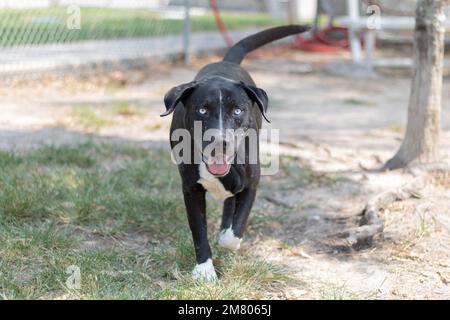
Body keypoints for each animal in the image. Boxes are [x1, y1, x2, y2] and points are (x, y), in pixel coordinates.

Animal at [163, 24, 310, 280]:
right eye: (202, 110)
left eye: (238, 110)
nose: (221, 142)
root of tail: (227, 62)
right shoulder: (191, 189)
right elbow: (199, 231)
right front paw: (204, 270)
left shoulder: (251, 183)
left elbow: (233, 234)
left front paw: (225, 239)